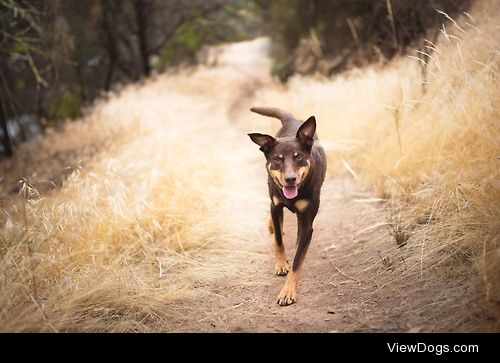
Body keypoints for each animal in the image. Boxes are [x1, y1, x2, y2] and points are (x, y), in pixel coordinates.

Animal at [248, 106, 326, 306]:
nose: (290, 179)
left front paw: (288, 292)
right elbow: (278, 240)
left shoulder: (306, 224)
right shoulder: (276, 207)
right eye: (277, 159)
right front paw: (282, 264)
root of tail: (291, 119)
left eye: (299, 157)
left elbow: (298, 260)